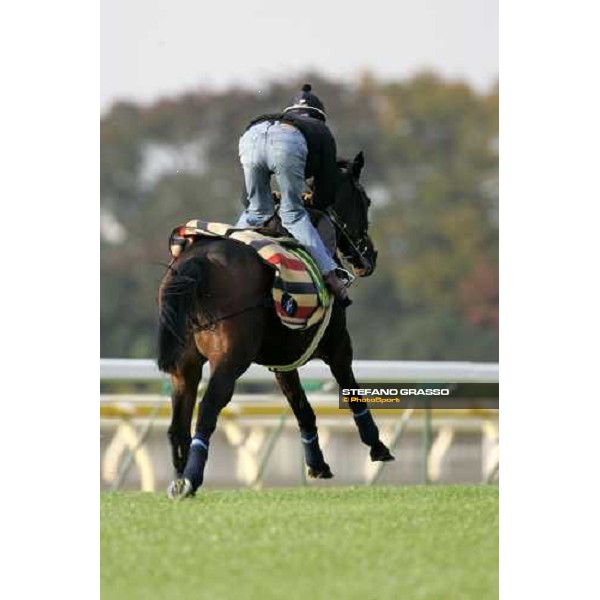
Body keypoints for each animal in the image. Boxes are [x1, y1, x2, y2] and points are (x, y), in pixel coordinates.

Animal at [157, 152, 396, 500]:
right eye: (366, 201)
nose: (370, 256)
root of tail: (198, 261)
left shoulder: (282, 361)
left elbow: (301, 407)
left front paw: (317, 463)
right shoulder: (339, 345)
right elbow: (352, 393)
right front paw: (378, 446)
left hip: (184, 367)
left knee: (178, 425)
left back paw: (179, 477)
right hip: (230, 359)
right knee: (209, 407)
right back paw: (191, 478)